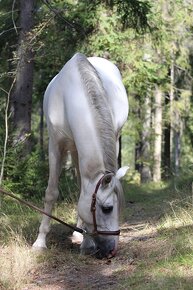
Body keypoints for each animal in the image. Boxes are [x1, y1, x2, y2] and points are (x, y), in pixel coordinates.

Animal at [33, 52, 129, 258]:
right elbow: (51, 192)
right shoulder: (56, 144)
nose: (112, 250)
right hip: (74, 150)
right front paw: (40, 242)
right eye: (107, 209)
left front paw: (86, 243)